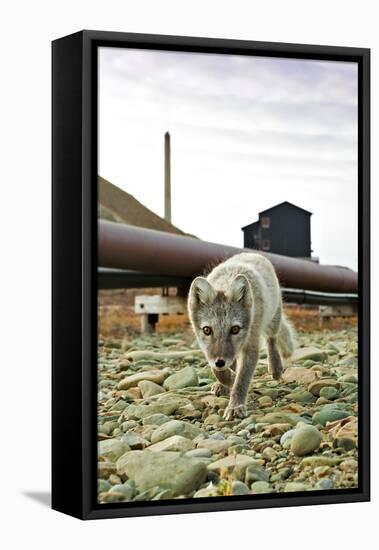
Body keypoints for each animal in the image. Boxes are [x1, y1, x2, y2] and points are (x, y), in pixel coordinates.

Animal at [189, 254, 296, 422]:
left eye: (235, 329)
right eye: (207, 330)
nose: (220, 362)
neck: (226, 281)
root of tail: (253, 254)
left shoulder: (250, 345)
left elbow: (242, 380)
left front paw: (235, 406)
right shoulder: (209, 352)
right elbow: (218, 372)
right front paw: (228, 380)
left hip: (273, 320)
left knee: (271, 340)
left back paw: (275, 368)